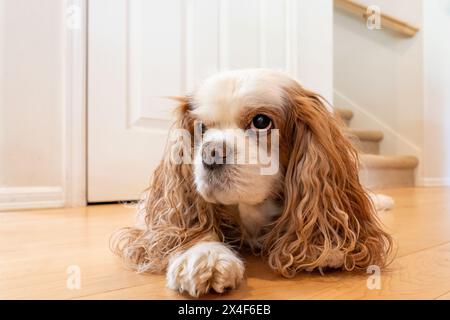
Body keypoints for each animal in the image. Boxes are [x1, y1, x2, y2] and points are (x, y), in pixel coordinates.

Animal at [112, 69, 394, 296]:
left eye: (260, 121)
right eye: (201, 127)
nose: (211, 152)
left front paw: (329, 244)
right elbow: (187, 228)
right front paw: (203, 254)